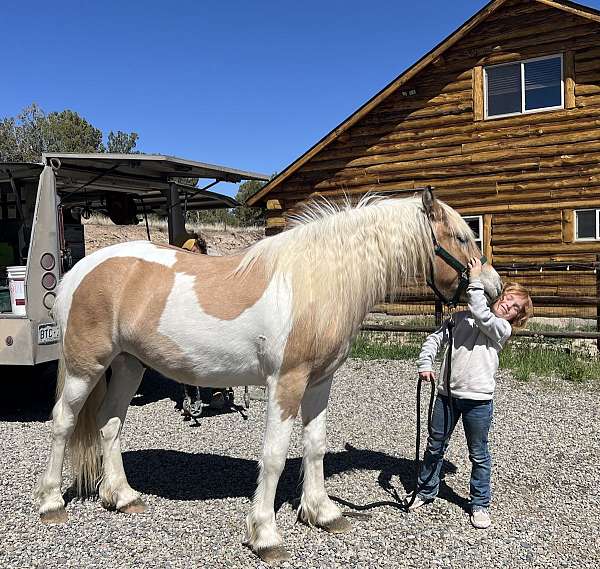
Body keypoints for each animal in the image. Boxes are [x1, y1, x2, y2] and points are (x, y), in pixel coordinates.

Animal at [32, 189, 502, 560]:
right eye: (463, 236)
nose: (495, 289)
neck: (318, 281)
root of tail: (78, 272)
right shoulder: (286, 383)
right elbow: (274, 456)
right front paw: (265, 535)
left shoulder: (320, 383)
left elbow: (314, 446)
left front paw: (322, 513)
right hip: (85, 367)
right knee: (63, 422)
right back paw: (51, 503)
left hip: (128, 365)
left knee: (110, 425)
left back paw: (122, 497)